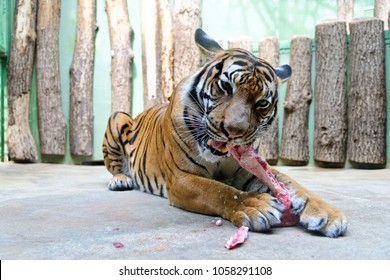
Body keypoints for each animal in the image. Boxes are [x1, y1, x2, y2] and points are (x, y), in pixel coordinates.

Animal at [103, 29, 348, 238]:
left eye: (262, 103)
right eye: (226, 86)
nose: (233, 131)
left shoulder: (250, 168)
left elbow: (293, 185)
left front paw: (327, 213)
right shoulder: (182, 177)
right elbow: (218, 190)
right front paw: (255, 205)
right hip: (117, 117)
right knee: (115, 167)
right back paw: (121, 180)